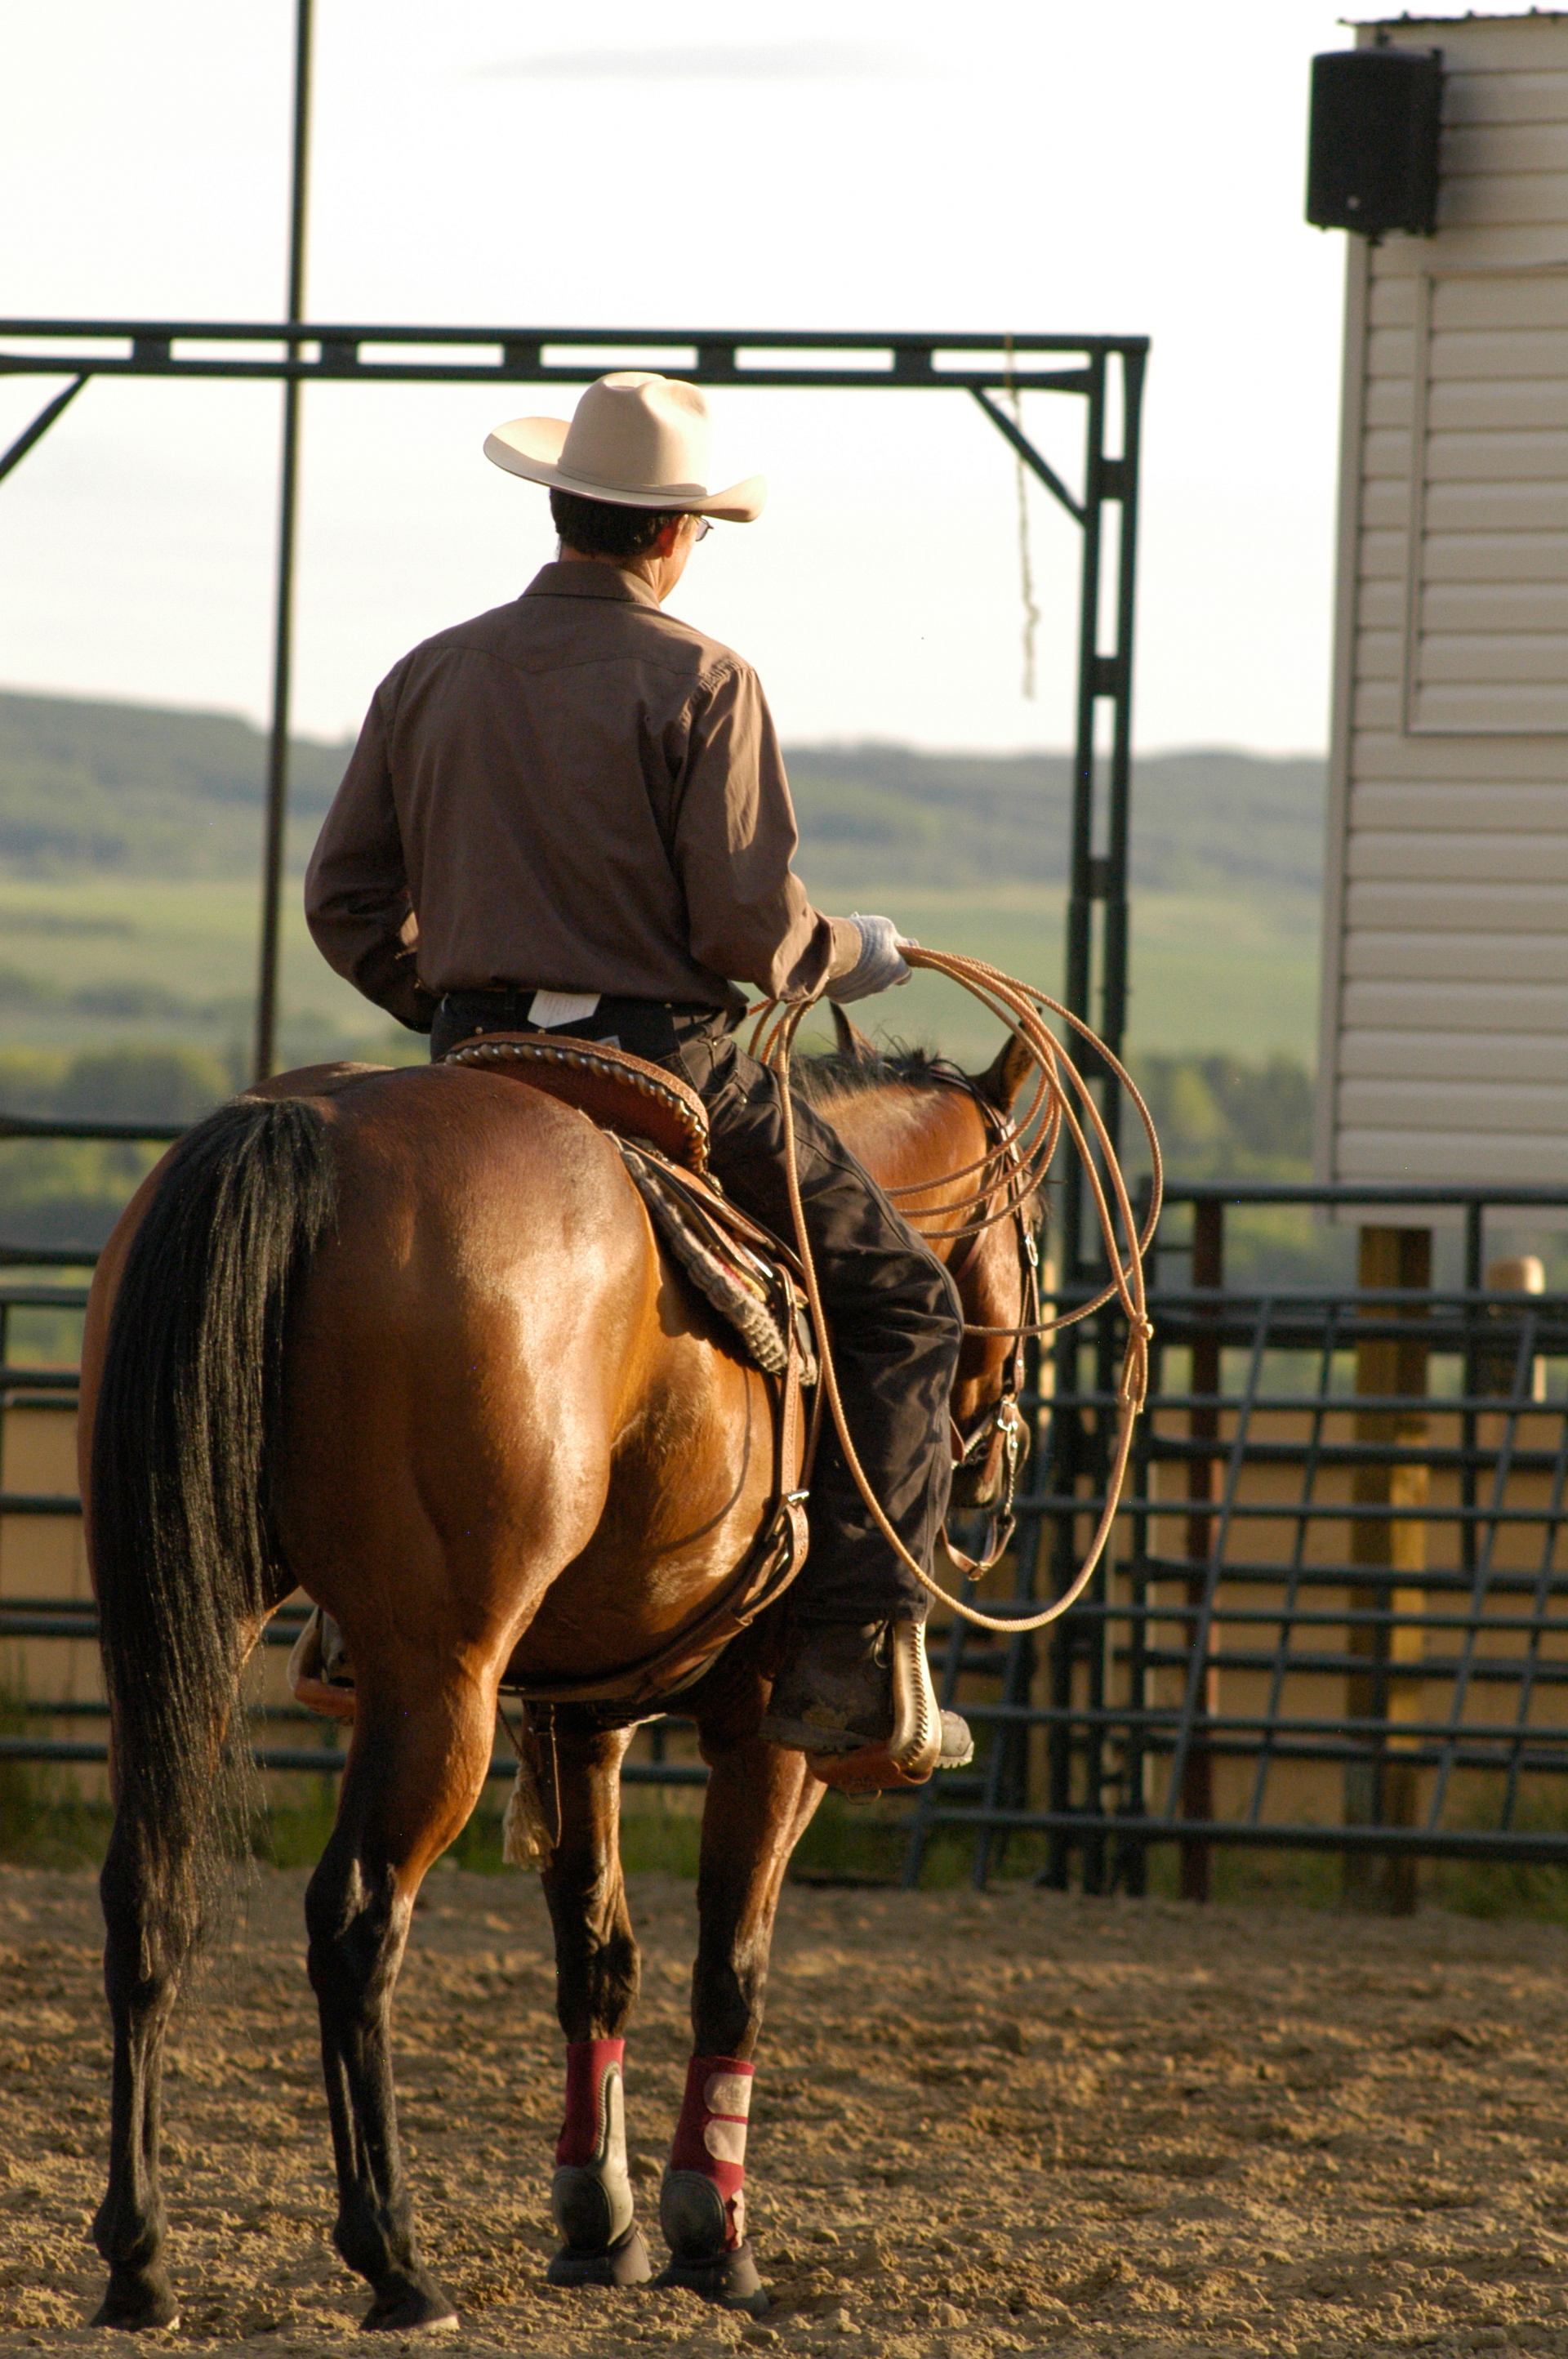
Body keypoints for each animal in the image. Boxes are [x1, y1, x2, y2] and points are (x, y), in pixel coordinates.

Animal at [78, 1026, 1037, 2334]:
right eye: (1032, 1232)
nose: (999, 1452)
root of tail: (310, 1129)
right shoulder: (769, 1732)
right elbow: (731, 1965)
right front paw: (713, 2234)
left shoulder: (580, 1711)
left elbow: (597, 1957)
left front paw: (601, 2222)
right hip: (441, 1682)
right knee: (358, 1921)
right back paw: (395, 2257)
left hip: (187, 1630)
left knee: (148, 1889)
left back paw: (141, 2259)